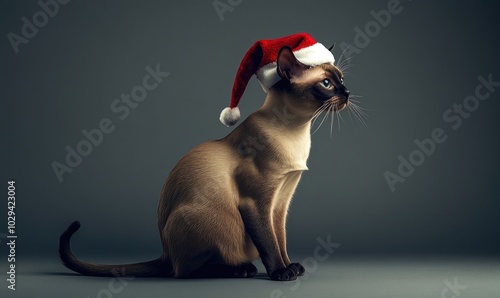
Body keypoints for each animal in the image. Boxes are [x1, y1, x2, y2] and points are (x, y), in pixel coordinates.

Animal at [60, 40, 350, 280]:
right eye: (326, 84)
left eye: (342, 79)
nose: (347, 92)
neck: (297, 131)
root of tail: (164, 253)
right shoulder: (257, 203)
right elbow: (268, 243)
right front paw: (280, 273)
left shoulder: (280, 202)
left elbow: (280, 239)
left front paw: (291, 266)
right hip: (213, 219)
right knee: (184, 270)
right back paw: (240, 269)